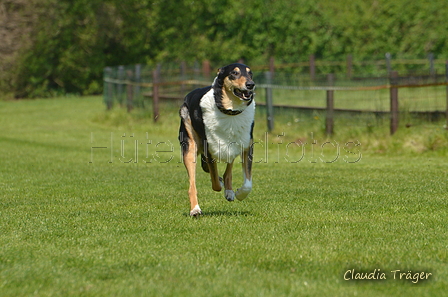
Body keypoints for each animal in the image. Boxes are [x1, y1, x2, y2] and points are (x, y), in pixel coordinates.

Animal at [178, 62, 256, 215]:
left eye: (250, 73)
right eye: (234, 73)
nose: (251, 84)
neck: (231, 111)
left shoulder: (246, 145)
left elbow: (248, 182)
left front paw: (239, 194)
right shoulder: (209, 148)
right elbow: (214, 182)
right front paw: (220, 183)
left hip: (232, 144)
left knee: (228, 169)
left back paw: (229, 191)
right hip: (190, 146)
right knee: (193, 184)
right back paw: (195, 209)